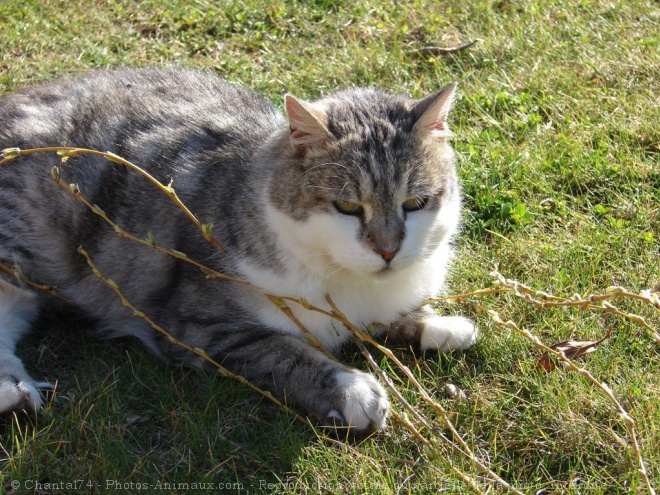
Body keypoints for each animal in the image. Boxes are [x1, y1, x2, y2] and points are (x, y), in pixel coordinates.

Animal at [0, 68, 476, 432]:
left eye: (415, 203)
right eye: (347, 207)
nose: (388, 250)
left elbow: (391, 315)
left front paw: (438, 325)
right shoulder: (198, 326)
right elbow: (285, 351)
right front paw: (350, 389)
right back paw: (13, 393)